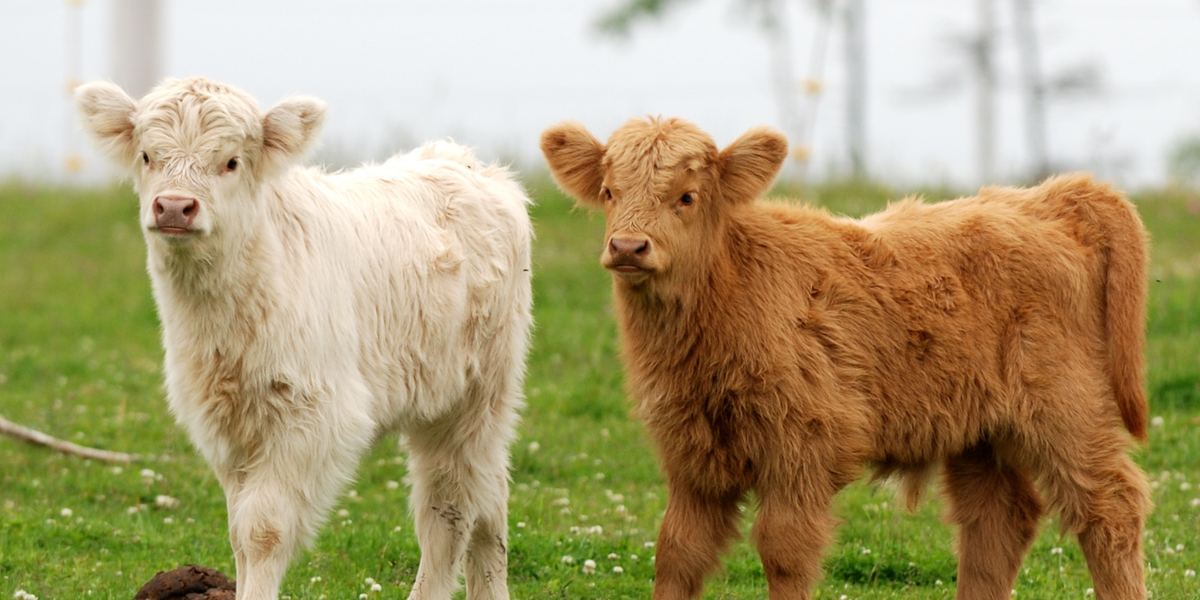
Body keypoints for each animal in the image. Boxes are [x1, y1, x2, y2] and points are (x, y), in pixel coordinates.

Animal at [75, 77, 534, 600]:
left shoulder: (312, 416)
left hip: (478, 393)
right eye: (148, 155)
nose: (174, 206)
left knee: (452, 507)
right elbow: (238, 531)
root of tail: (465, 162)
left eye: (231, 162)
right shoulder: (226, 426)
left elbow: (264, 529)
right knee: (487, 498)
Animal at [541, 117, 1151, 600]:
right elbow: (678, 552)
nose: (628, 247)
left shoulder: (802, 449)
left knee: (1110, 507)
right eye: (609, 190)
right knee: (998, 521)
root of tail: (1045, 198)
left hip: (1067, 409)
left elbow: (784, 551)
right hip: (979, 431)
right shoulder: (692, 459)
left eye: (687, 197)